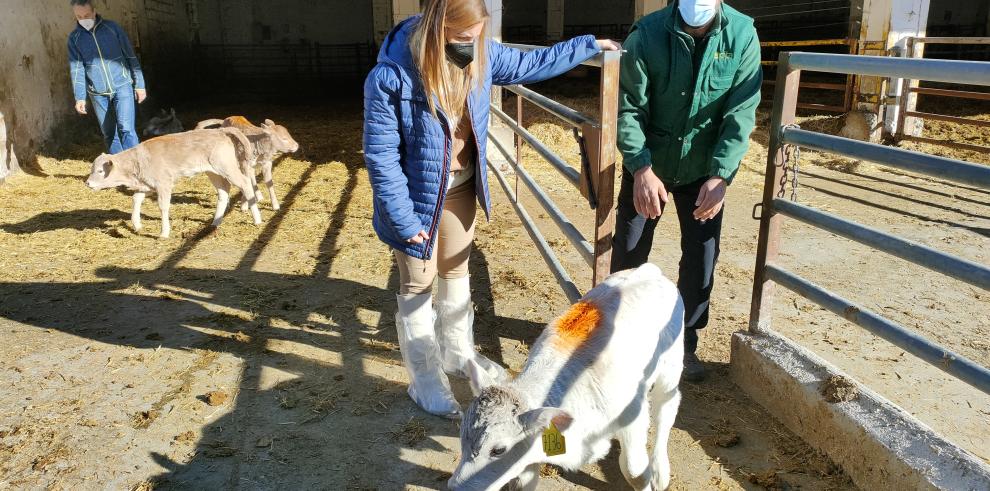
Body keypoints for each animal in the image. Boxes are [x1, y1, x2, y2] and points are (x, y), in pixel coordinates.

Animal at [86, 130, 264, 239]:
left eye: (101, 171)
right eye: (92, 168)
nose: (87, 183)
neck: (137, 161)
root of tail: (220, 131)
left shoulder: (163, 184)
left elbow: (163, 207)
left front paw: (164, 232)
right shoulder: (148, 185)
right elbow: (136, 199)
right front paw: (137, 225)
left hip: (226, 167)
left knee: (245, 183)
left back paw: (257, 219)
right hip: (213, 171)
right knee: (223, 192)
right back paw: (215, 223)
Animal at [454, 264, 684, 491]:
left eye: (498, 450)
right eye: (462, 436)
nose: (455, 488)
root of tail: (649, 270)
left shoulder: (633, 415)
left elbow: (635, 473)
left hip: (671, 365)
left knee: (666, 406)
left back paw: (660, 470)